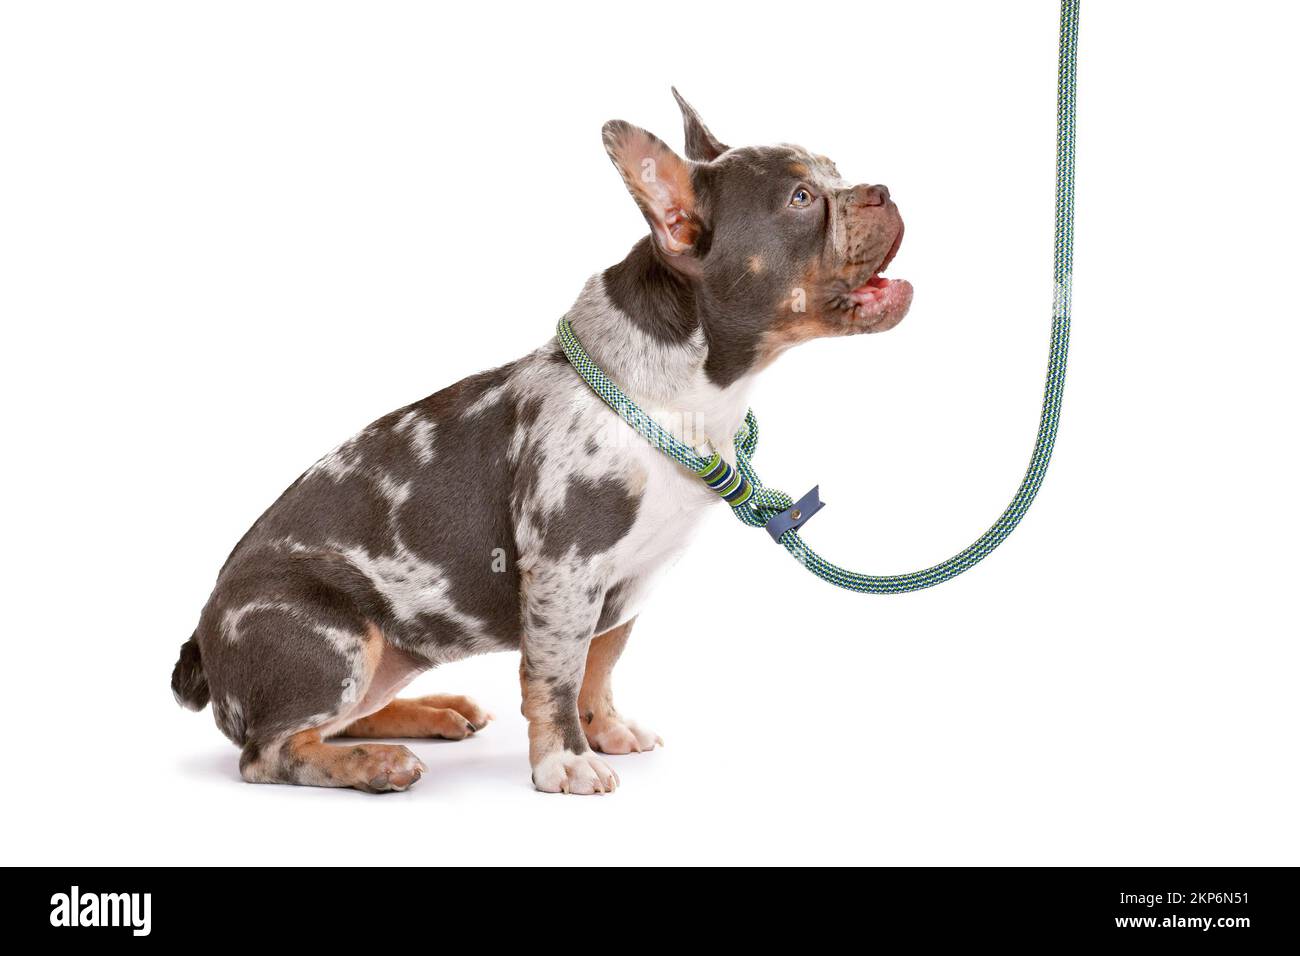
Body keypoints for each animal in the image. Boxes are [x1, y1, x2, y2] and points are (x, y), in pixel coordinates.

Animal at [167, 91, 909, 790]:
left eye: (835, 173)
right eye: (800, 200)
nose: (880, 188)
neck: (681, 400)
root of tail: (202, 642)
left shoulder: (625, 585)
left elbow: (600, 662)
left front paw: (605, 729)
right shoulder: (566, 570)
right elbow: (555, 674)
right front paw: (566, 763)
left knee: (333, 722)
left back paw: (429, 714)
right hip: (338, 639)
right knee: (273, 750)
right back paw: (377, 764)